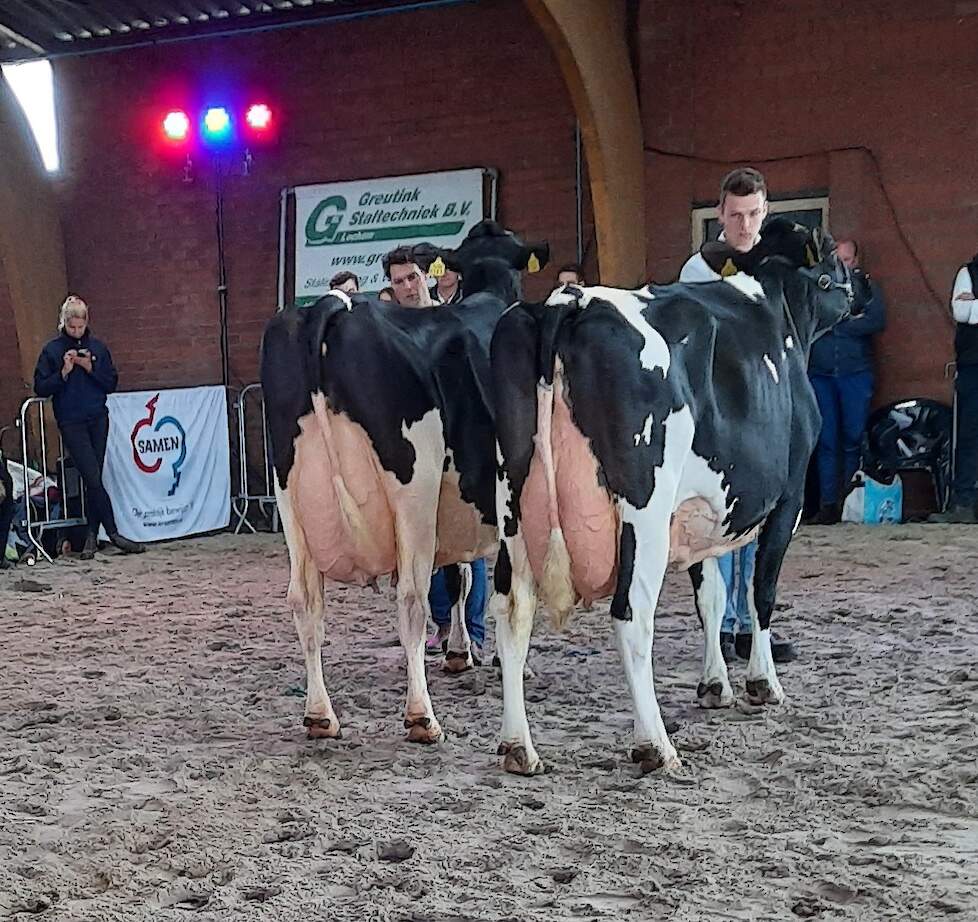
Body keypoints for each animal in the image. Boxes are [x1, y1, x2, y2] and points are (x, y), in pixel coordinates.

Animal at [260, 219, 548, 744]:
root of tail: (333, 305)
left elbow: (458, 577)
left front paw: (459, 651)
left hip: (289, 492)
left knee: (304, 600)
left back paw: (320, 716)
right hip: (414, 486)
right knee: (410, 597)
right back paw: (422, 717)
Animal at [492, 219, 852, 772]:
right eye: (834, 262)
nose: (860, 291)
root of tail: (566, 302)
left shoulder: (697, 514)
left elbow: (712, 595)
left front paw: (714, 686)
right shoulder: (788, 499)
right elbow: (761, 592)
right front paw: (763, 683)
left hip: (512, 507)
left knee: (512, 611)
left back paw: (518, 747)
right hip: (643, 513)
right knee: (632, 616)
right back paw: (656, 746)